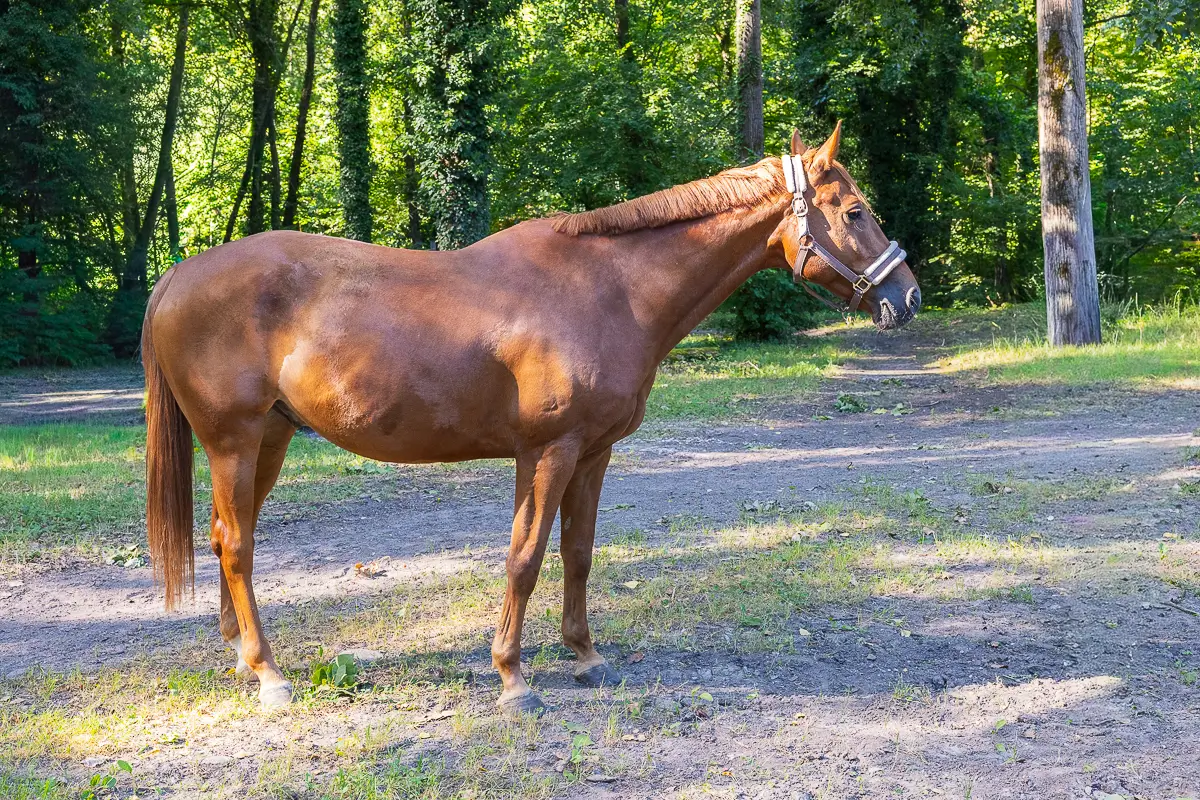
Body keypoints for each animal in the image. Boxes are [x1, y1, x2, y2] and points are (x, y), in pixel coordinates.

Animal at [142, 124, 921, 715]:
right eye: (855, 211)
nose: (907, 298)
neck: (609, 290)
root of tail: (179, 274)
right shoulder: (548, 450)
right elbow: (526, 557)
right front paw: (514, 678)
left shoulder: (594, 453)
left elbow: (577, 552)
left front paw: (586, 656)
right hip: (234, 441)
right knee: (238, 546)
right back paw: (270, 674)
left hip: (270, 440)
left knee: (227, 537)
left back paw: (242, 658)